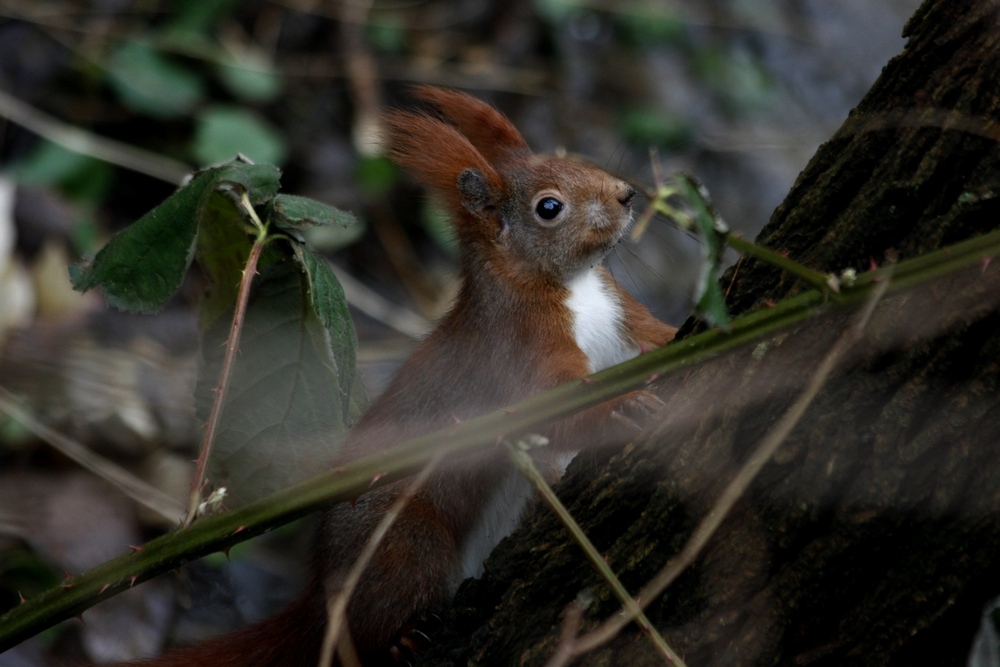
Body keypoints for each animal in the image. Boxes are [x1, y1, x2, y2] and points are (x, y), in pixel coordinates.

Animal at [121, 86, 676, 664]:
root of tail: (321, 597)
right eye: (549, 207)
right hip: (406, 542)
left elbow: (654, 336)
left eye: (570, 160)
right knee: (376, 614)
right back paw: (402, 635)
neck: (575, 287)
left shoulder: (623, 317)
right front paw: (623, 406)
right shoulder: (520, 349)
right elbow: (556, 409)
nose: (627, 194)